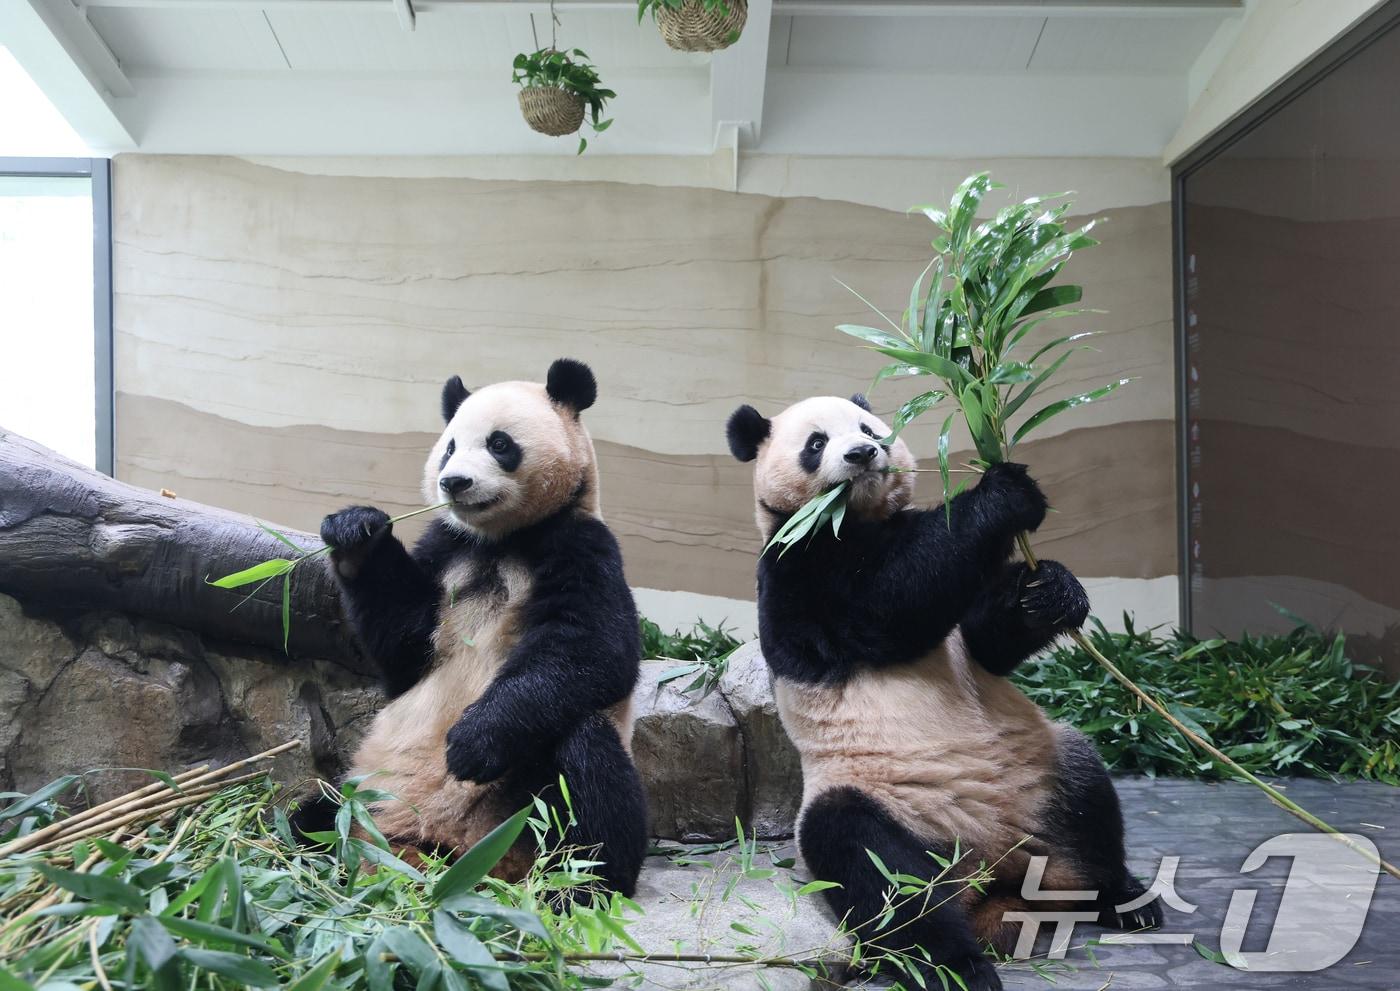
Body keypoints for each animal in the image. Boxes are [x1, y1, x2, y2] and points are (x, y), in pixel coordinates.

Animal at [303, 358, 647, 895]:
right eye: (449, 446)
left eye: (499, 443)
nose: (454, 483)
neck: (499, 541)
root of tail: (456, 855)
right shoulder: (447, 548)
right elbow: (402, 646)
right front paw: (356, 532)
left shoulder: (581, 547)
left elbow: (594, 649)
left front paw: (471, 743)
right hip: (363, 800)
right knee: (314, 813)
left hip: (527, 810)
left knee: (586, 759)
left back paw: (583, 887)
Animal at [726, 394, 1160, 991]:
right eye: (816, 443)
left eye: (869, 430)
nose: (862, 455)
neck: (856, 520)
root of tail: (992, 878)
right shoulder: (798, 567)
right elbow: (890, 603)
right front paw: (1005, 494)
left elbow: (985, 643)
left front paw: (1049, 589)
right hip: (875, 799)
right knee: (878, 870)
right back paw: (958, 966)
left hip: (1040, 770)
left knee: (1088, 803)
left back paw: (1126, 899)